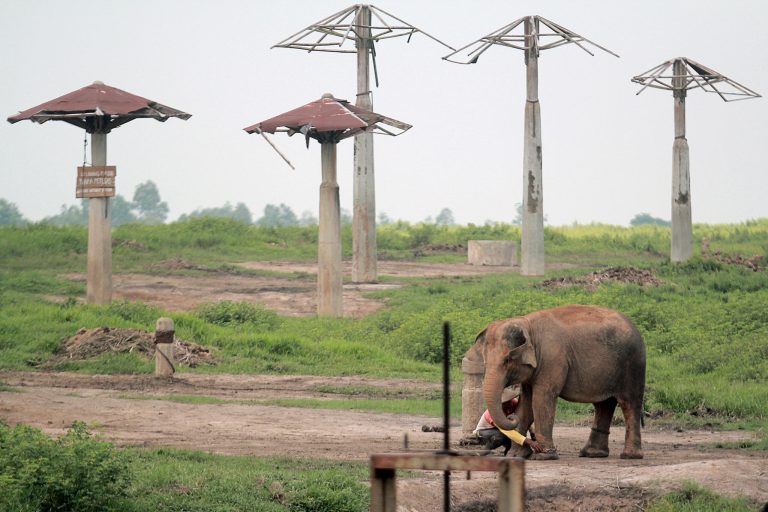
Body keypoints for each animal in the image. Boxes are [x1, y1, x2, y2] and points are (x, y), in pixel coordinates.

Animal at [464, 304, 644, 460]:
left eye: (507, 360)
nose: (510, 416)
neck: (527, 324)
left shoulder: (551, 359)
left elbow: (541, 399)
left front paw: (543, 455)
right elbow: (526, 403)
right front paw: (517, 455)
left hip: (633, 364)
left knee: (629, 403)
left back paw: (629, 456)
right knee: (603, 404)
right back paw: (592, 454)